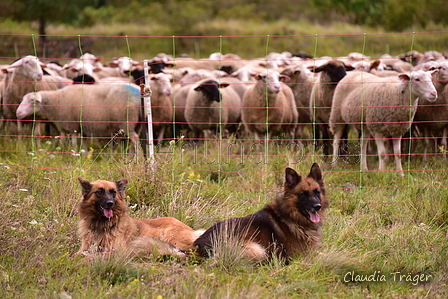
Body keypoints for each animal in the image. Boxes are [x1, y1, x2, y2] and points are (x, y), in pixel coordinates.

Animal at [192, 164, 328, 262]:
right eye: (303, 194)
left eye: (317, 192)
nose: (317, 207)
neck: (290, 216)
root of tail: (198, 246)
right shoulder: (304, 255)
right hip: (256, 249)